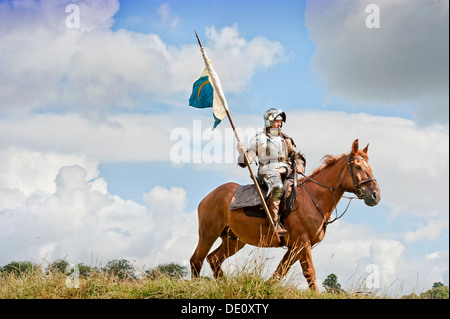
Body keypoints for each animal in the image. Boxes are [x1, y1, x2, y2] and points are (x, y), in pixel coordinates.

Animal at [189, 139, 380, 292]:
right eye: (358, 166)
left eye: (370, 167)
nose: (375, 195)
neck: (314, 197)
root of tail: (208, 197)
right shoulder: (302, 243)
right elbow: (309, 272)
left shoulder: (295, 247)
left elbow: (280, 272)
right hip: (208, 234)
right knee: (196, 260)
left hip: (234, 240)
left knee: (213, 259)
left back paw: (224, 284)